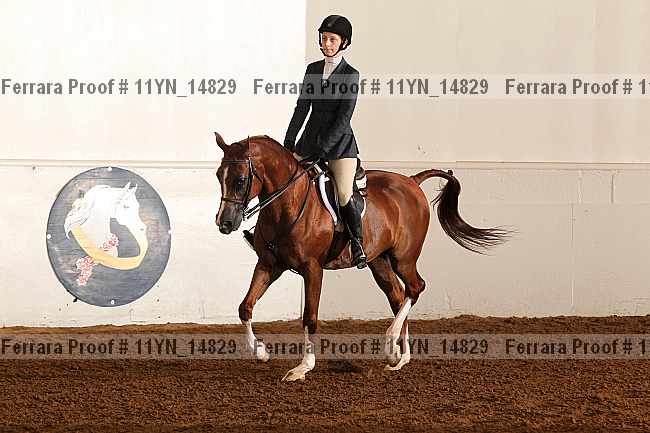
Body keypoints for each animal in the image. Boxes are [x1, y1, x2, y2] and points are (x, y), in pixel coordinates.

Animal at [214, 133, 510, 381]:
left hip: (403, 258)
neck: (287, 205)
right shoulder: (269, 265)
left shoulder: (312, 269)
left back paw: (391, 345)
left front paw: (303, 368)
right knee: (398, 296)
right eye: (219, 175)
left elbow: (310, 316)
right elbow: (245, 307)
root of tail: (412, 182)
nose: (224, 223)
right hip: (378, 262)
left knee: (415, 287)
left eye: (240, 180)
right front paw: (261, 352)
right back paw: (399, 358)